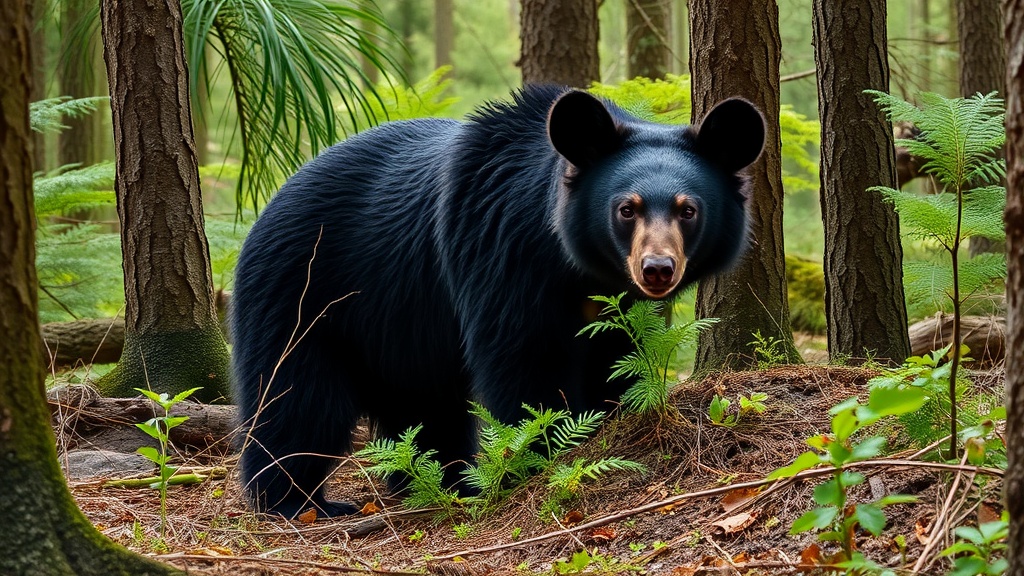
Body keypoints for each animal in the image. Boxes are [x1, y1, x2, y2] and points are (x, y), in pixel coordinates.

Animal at [230, 85, 765, 518]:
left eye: (688, 209)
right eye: (626, 209)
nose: (656, 268)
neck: (574, 268)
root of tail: (271, 201)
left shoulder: (617, 308)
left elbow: (616, 360)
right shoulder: (500, 252)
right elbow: (525, 363)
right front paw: (544, 454)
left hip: (398, 328)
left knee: (424, 407)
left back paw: (440, 484)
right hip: (302, 292)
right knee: (296, 398)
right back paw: (296, 502)